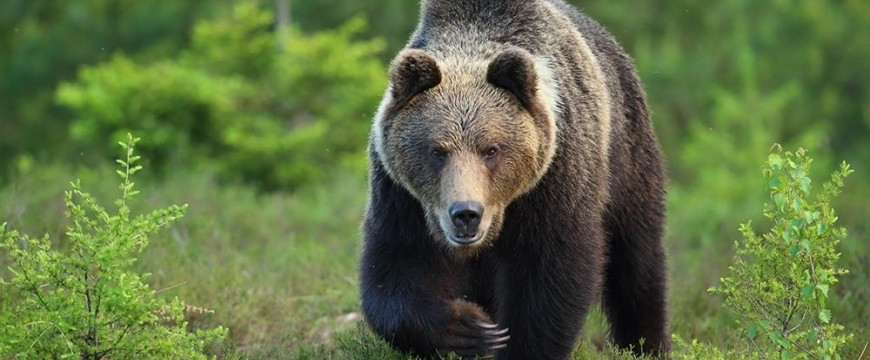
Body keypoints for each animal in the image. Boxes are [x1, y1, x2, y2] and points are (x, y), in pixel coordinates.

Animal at [362, 1, 676, 358]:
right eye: (437, 151)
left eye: (491, 149)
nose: (466, 214)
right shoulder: (402, 197)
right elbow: (398, 269)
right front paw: (471, 329)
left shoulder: (555, 180)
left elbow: (551, 277)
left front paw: (517, 344)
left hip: (626, 157)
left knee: (636, 259)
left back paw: (645, 342)